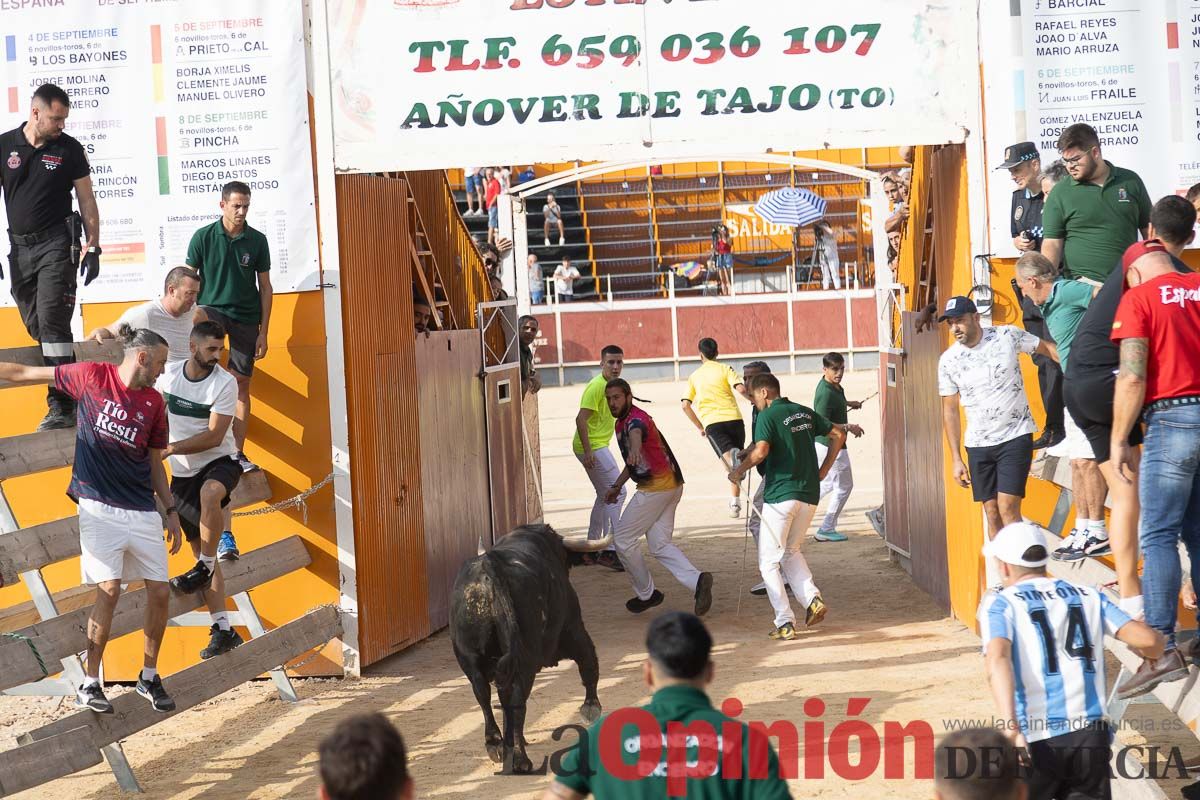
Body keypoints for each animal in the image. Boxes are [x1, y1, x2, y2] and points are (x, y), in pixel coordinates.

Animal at [451, 522, 614, 772]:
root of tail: (489, 567)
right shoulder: (574, 629)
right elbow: (589, 662)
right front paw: (591, 708)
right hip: (524, 660)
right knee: (516, 702)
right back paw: (520, 760)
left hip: (470, 659)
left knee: (484, 695)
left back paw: (496, 745)